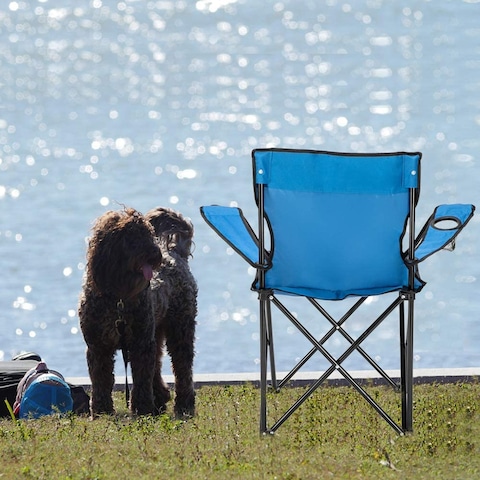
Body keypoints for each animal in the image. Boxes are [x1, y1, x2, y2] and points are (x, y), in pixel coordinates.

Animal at [79, 206, 197, 420]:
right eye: (131, 237)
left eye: (149, 234)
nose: (155, 253)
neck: (118, 297)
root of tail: (174, 253)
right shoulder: (99, 346)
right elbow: (100, 380)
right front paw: (101, 411)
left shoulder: (140, 344)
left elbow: (141, 379)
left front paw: (142, 409)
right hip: (155, 333)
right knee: (157, 366)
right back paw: (160, 399)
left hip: (180, 330)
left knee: (182, 369)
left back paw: (183, 405)